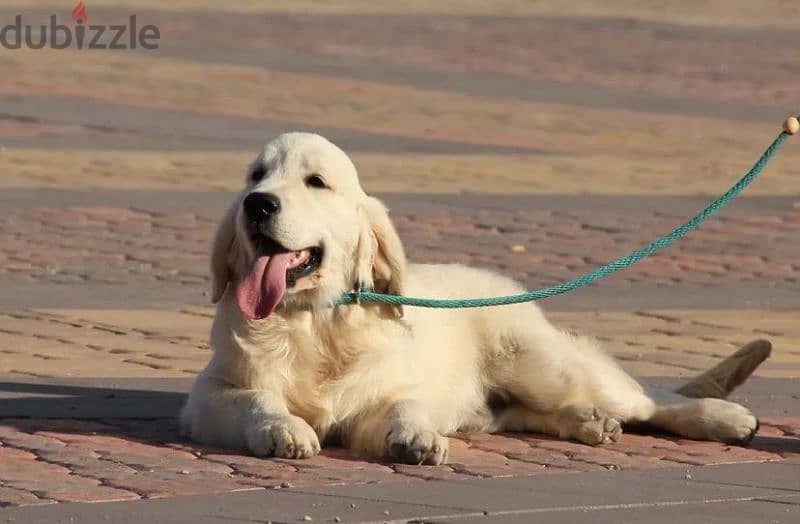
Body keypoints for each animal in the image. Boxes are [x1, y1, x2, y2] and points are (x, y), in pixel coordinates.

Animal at [181, 133, 764, 464]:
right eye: (257, 175)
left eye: (316, 181)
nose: (257, 204)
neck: (314, 324)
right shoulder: (210, 393)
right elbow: (256, 398)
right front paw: (284, 428)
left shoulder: (386, 392)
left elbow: (405, 405)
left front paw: (416, 436)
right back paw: (588, 422)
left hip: (541, 363)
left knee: (648, 399)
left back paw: (724, 418)